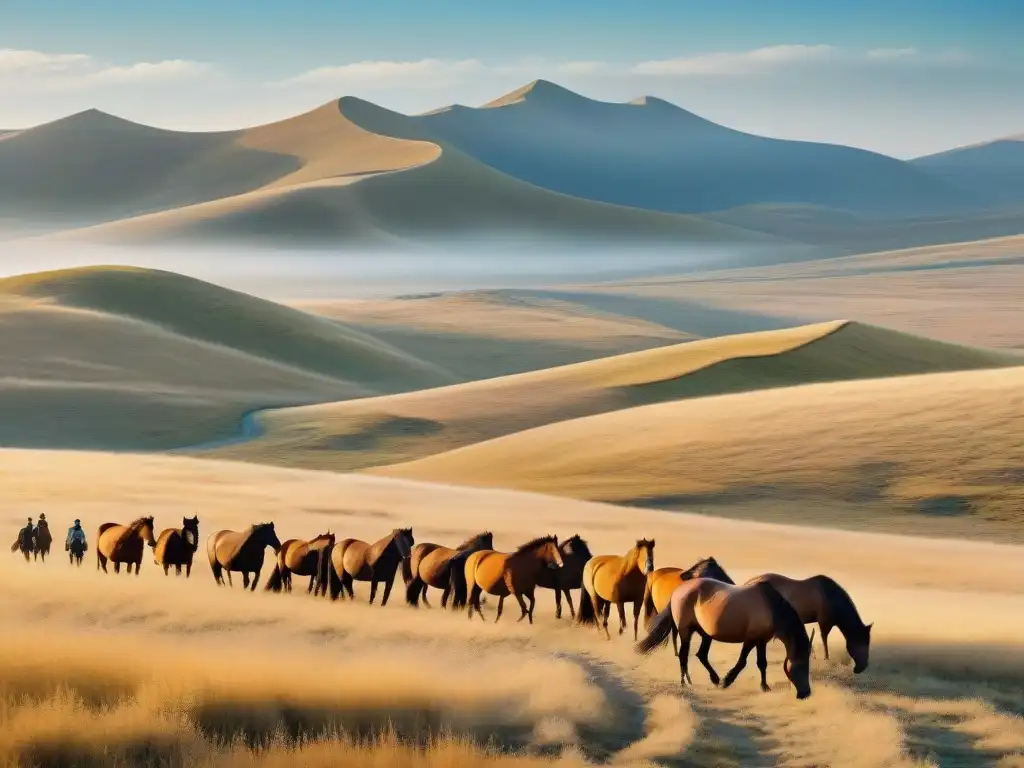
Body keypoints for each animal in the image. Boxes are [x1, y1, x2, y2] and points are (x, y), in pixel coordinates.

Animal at [634, 581, 811, 700]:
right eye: (800, 668)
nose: (806, 693)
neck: (771, 607)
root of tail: (677, 591)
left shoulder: (762, 641)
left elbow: (762, 664)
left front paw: (764, 686)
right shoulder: (750, 639)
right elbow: (742, 662)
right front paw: (727, 681)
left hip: (706, 634)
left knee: (701, 655)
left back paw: (714, 679)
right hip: (685, 631)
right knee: (684, 655)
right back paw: (686, 682)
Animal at [741, 573, 876, 671]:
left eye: (868, 642)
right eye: (861, 642)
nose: (862, 667)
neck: (832, 597)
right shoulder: (824, 622)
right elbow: (824, 640)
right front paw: (826, 659)